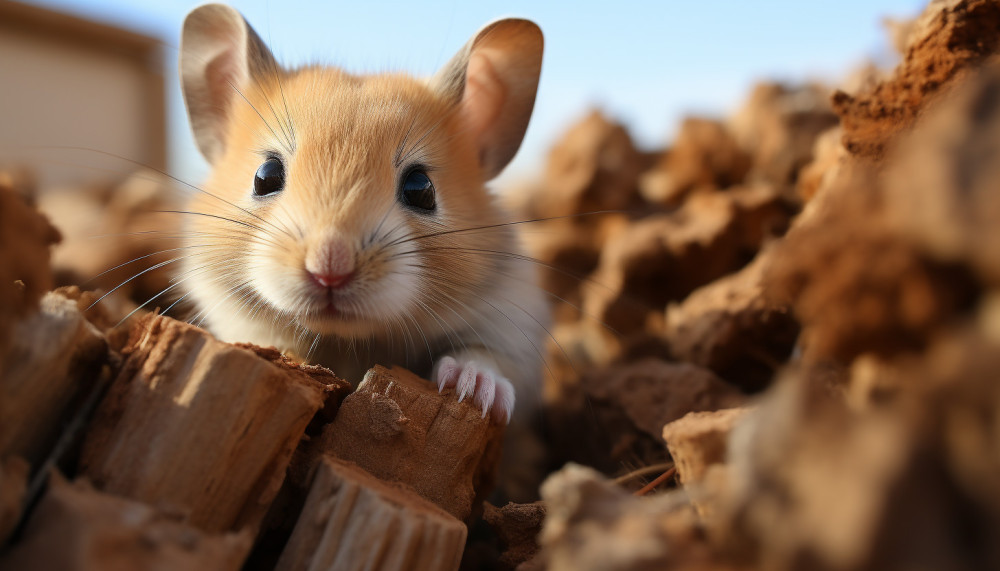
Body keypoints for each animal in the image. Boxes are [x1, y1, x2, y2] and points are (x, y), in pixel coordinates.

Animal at [176, 4, 547, 424]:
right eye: (265, 176)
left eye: (422, 189)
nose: (329, 270)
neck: (351, 341)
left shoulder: (513, 324)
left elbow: (486, 358)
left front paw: (471, 390)